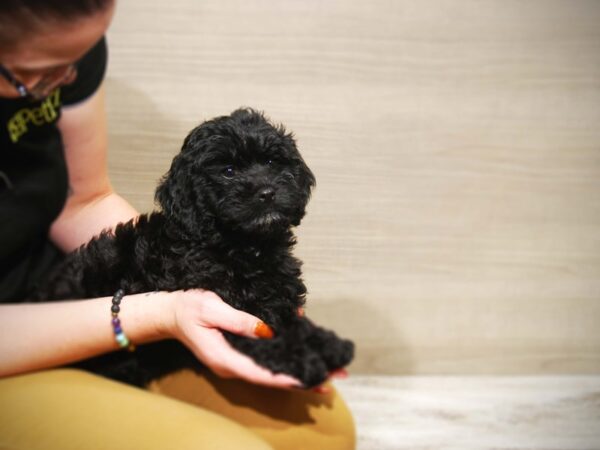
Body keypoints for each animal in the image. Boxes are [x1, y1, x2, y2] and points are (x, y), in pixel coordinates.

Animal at [36, 108, 352, 386]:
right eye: (228, 171)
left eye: (273, 163)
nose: (267, 193)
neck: (245, 245)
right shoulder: (228, 306)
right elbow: (258, 334)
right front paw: (299, 360)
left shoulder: (276, 294)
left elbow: (293, 321)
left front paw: (328, 343)